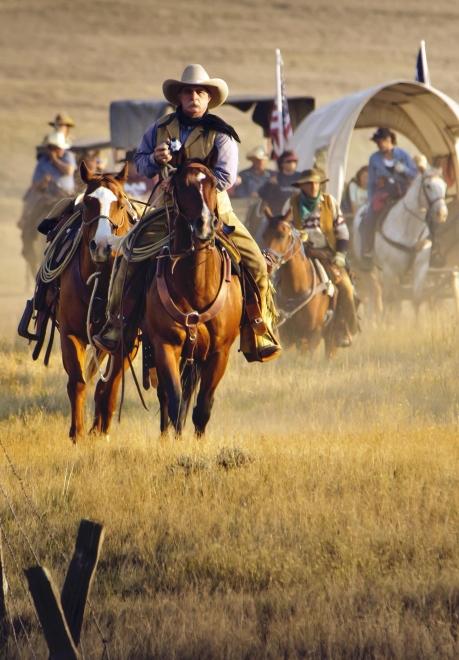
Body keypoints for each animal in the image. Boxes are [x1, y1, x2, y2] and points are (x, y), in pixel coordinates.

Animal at [56, 160, 134, 440]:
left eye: (120, 203)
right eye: (88, 202)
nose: (102, 246)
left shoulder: (127, 340)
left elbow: (110, 385)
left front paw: (101, 429)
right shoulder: (70, 333)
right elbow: (78, 381)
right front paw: (77, 432)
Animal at [146, 162, 243, 436]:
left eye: (212, 183)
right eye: (182, 185)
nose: (205, 225)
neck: (197, 286)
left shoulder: (219, 353)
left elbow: (202, 408)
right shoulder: (165, 345)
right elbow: (175, 400)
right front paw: (175, 439)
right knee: (166, 396)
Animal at [260, 211, 336, 356]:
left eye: (282, 235)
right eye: (264, 234)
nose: (266, 264)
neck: (297, 289)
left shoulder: (314, 335)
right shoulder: (287, 335)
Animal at [354, 168, 448, 306]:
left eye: (445, 186)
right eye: (428, 186)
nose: (442, 214)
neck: (408, 230)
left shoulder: (420, 268)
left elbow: (416, 299)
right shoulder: (389, 270)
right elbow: (388, 300)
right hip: (369, 273)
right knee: (376, 297)